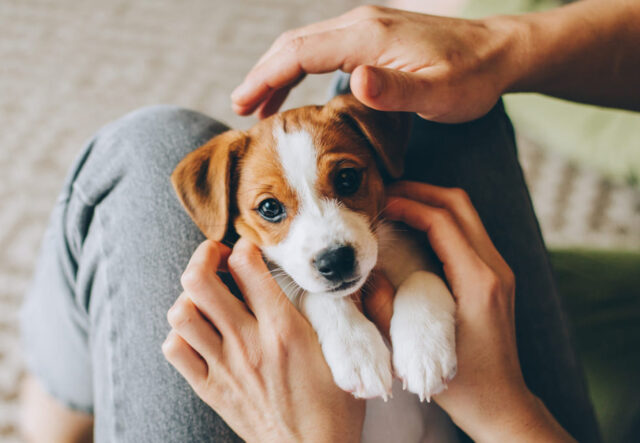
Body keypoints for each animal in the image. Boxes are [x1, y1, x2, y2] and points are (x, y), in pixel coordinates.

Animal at [172, 93, 458, 406]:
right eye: (269, 207)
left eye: (347, 178)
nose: (336, 261)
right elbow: (317, 296)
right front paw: (357, 351)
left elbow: (423, 277)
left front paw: (424, 350)